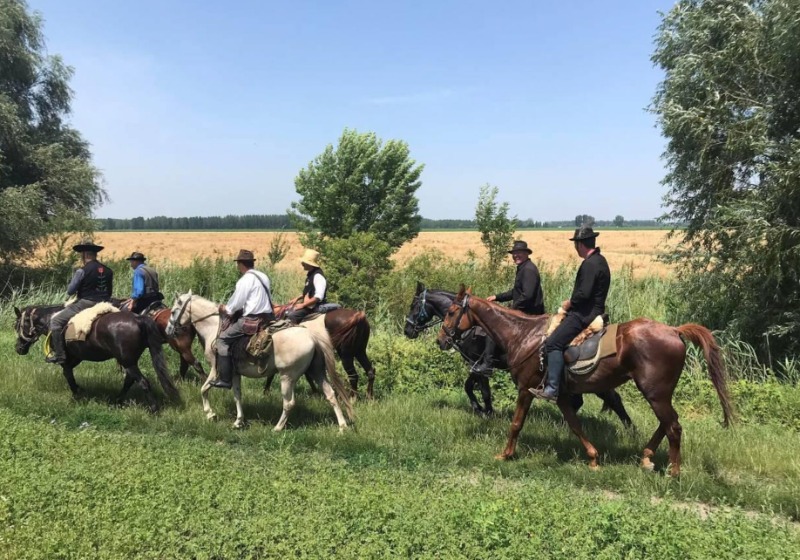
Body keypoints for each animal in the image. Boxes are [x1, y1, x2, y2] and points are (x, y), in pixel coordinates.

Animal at [14, 304, 180, 414]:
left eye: (17, 326)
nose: (18, 349)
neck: (51, 320)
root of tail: (138, 318)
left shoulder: (67, 358)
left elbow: (67, 373)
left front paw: (77, 394)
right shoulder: (76, 357)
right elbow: (69, 373)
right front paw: (79, 391)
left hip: (127, 361)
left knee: (143, 382)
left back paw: (153, 409)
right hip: (129, 361)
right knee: (130, 380)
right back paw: (117, 401)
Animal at [166, 290, 354, 430]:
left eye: (174, 311)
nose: (168, 330)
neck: (214, 328)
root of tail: (312, 336)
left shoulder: (216, 368)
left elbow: (204, 389)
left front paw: (210, 414)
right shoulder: (234, 373)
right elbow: (237, 395)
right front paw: (238, 421)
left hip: (287, 377)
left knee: (289, 403)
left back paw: (278, 427)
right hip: (317, 372)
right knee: (331, 395)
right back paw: (342, 426)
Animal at [404, 282, 636, 426]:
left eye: (414, 305)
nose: (407, 331)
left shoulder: (478, 365)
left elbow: (478, 389)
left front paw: (484, 411)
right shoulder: (475, 367)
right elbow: (472, 387)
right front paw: (482, 409)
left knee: (612, 398)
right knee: (584, 401)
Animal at [440, 286, 736, 474]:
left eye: (452, 311)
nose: (441, 339)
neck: (523, 334)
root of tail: (674, 331)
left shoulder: (526, 388)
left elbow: (516, 424)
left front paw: (505, 454)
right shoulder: (560, 394)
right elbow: (575, 425)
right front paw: (593, 458)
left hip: (655, 393)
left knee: (673, 427)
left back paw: (673, 472)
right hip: (659, 394)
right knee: (666, 424)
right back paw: (647, 458)